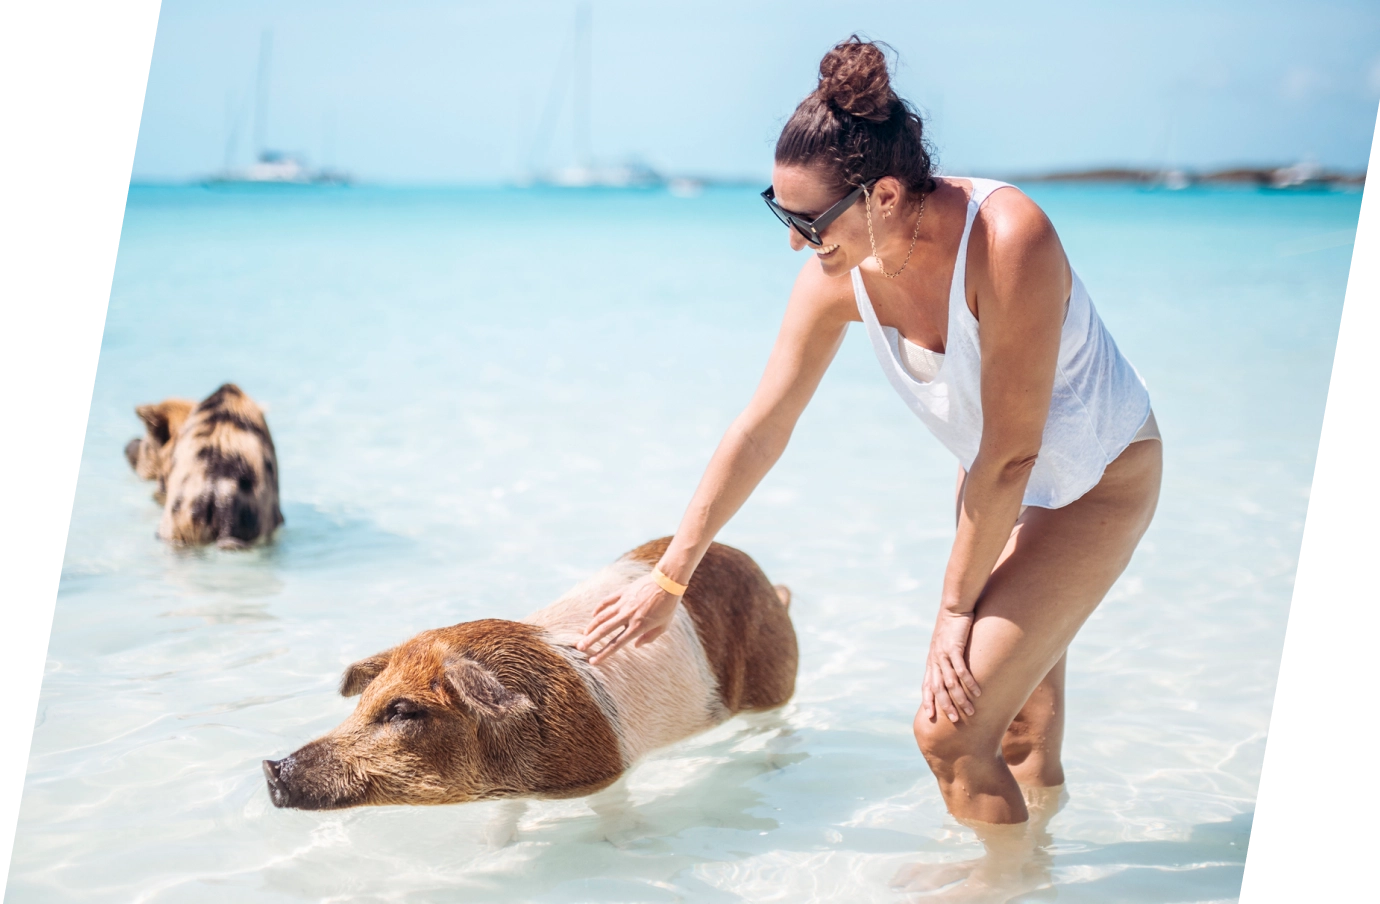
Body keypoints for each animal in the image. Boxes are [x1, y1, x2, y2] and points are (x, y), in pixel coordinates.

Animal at [263, 537, 798, 810]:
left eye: (402, 710)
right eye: (364, 700)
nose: (270, 766)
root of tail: (769, 583)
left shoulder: (606, 773)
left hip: (772, 675)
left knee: (777, 724)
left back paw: (775, 769)